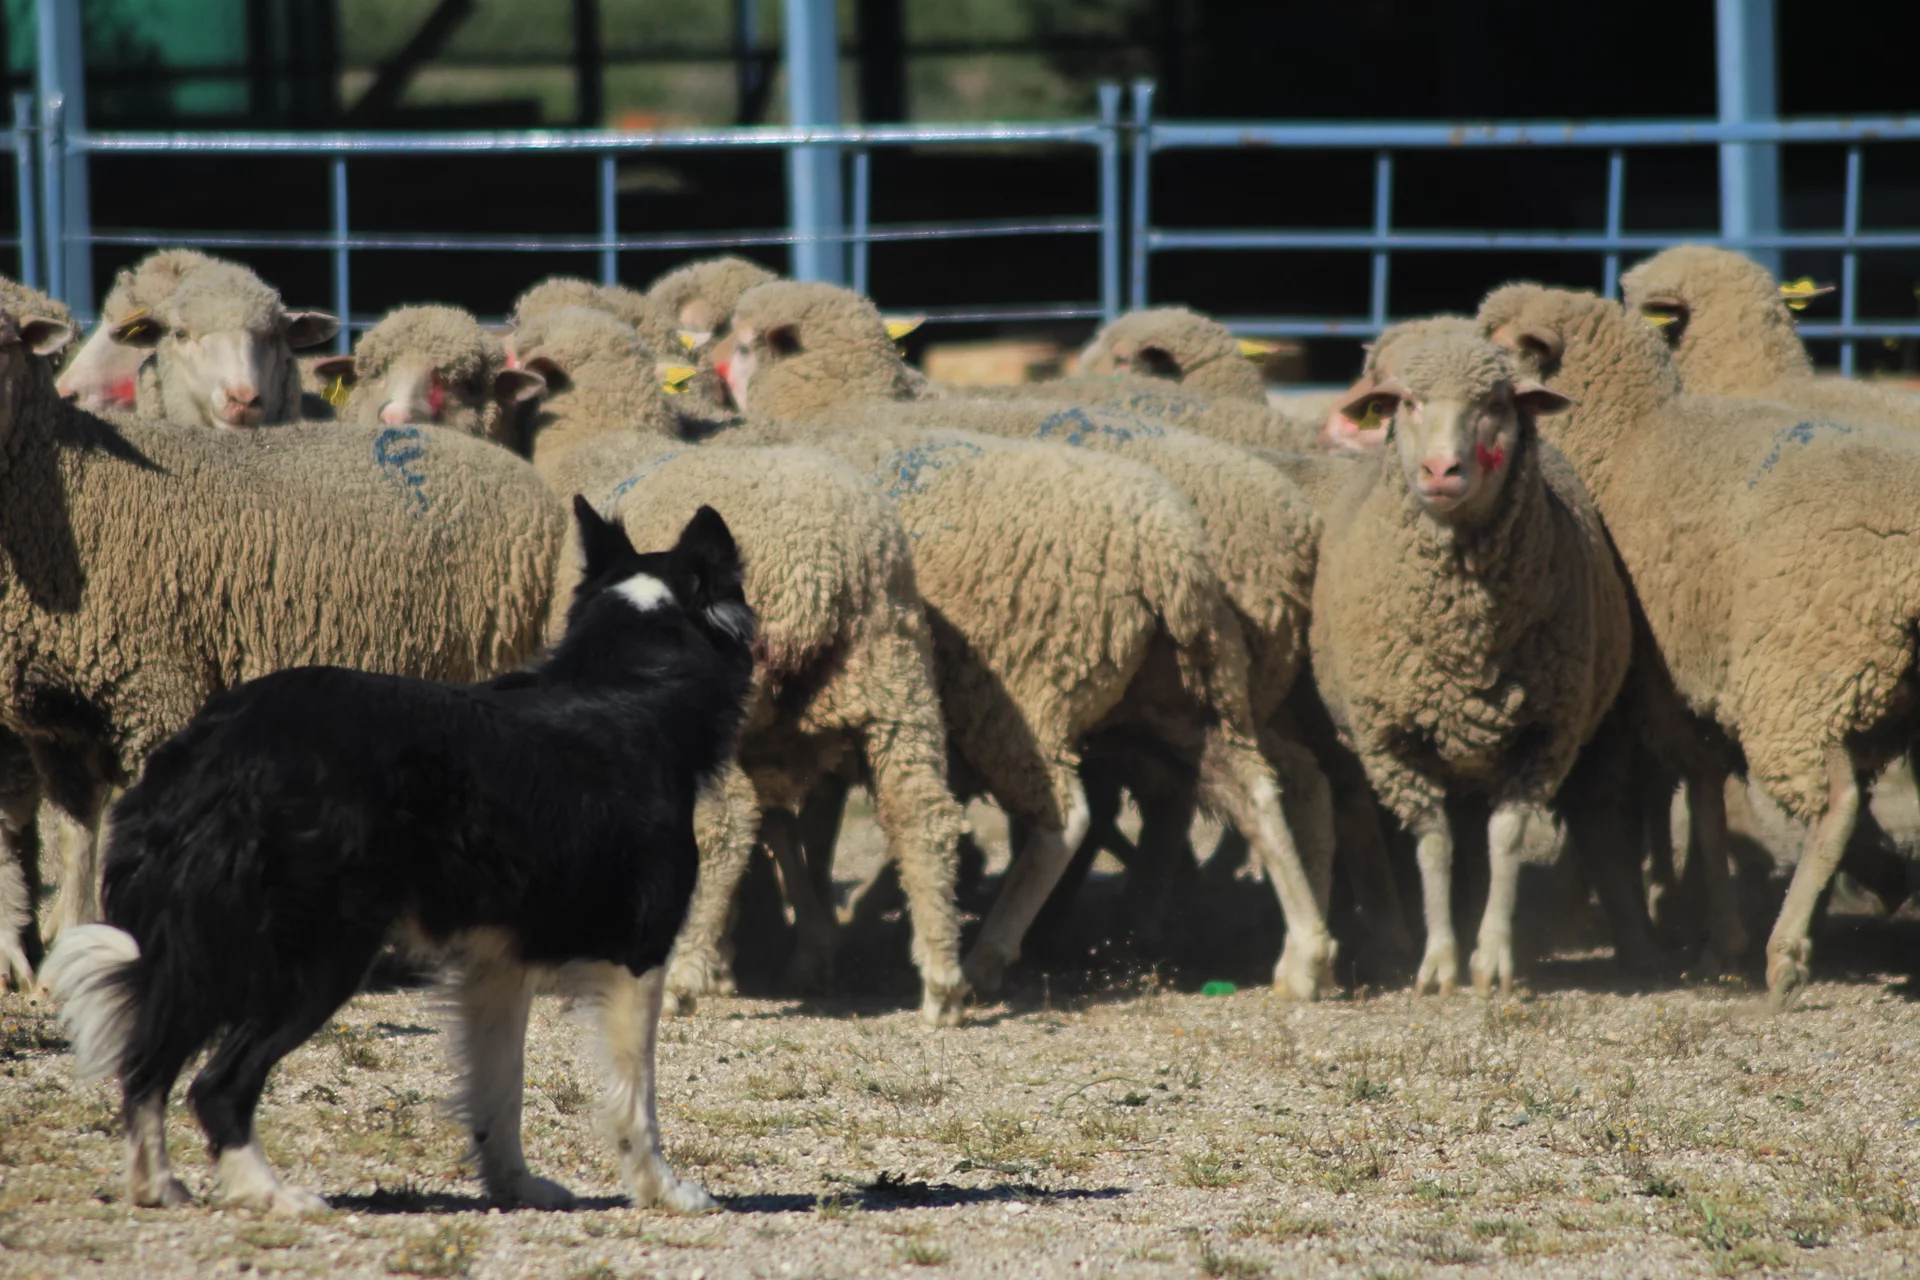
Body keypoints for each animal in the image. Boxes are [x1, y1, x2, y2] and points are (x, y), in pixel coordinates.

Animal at [510, 304, 969, 1025]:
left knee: (726, 824)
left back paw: (682, 979)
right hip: (895, 680)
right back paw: (944, 984)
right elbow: (789, 835)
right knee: (922, 814)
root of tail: (824, 562)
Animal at [724, 281, 1342, 997]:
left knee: (1070, 818)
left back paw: (993, 953)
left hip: (1027, 690)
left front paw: (805, 942)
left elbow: (789, 822)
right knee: (1262, 787)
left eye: (737, 345)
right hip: (1191, 691)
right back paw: (1303, 956)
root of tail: (1163, 547)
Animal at [1306, 329, 1638, 995]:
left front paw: (1493, 960)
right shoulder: (1395, 743)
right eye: (1408, 402)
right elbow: (1433, 847)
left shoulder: (1544, 736)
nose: (1440, 470)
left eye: (1496, 405)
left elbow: (1505, 841)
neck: (1463, 637)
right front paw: (1438, 963)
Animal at [1479, 282, 1920, 1004]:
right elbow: (1701, 801)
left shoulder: (1660, 687)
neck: (1627, 437)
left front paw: (1716, 936)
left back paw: (1787, 951)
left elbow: (1696, 805)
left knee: (1835, 805)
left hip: (1797, 677)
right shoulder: (1687, 685)